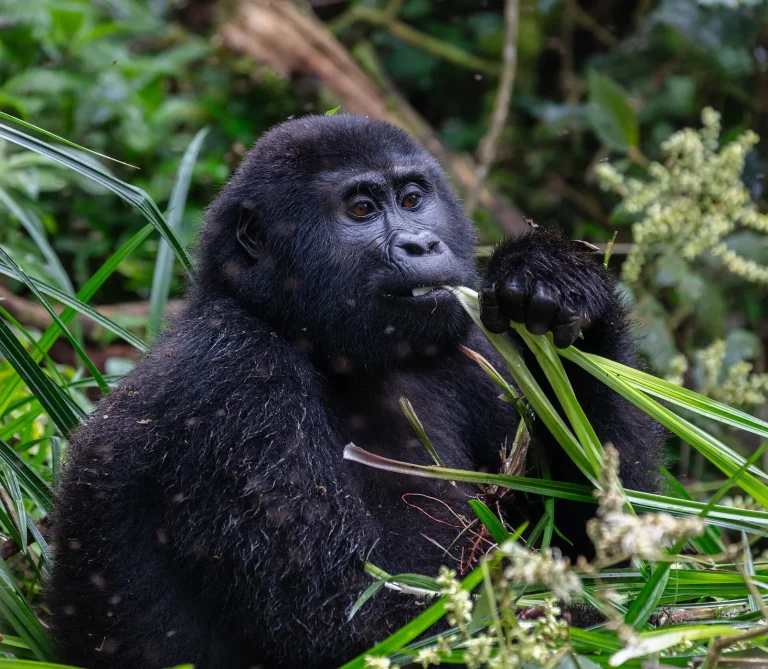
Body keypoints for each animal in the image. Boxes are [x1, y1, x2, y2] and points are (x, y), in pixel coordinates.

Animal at [48, 114, 663, 669]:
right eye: (362, 209)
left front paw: (558, 278)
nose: (421, 244)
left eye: (413, 199)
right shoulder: (232, 376)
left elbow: (601, 547)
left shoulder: (473, 347)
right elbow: (359, 624)